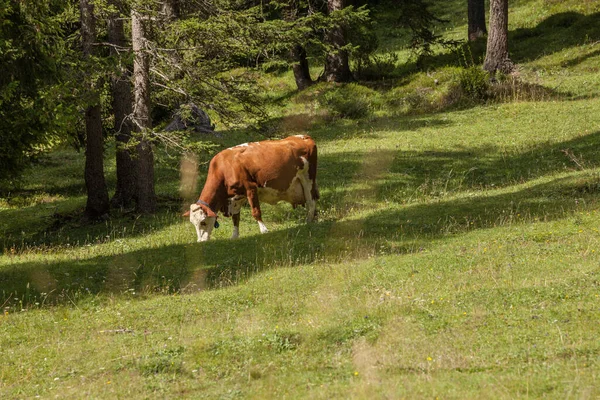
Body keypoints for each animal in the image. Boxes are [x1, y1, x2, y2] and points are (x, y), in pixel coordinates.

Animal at [186, 135, 318, 241]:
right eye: (193, 223)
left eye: (203, 222)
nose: (200, 241)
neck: (224, 168)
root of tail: (303, 137)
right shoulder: (236, 197)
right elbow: (235, 217)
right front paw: (234, 235)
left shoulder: (251, 188)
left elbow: (256, 212)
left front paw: (264, 230)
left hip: (308, 179)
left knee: (311, 201)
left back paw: (308, 222)